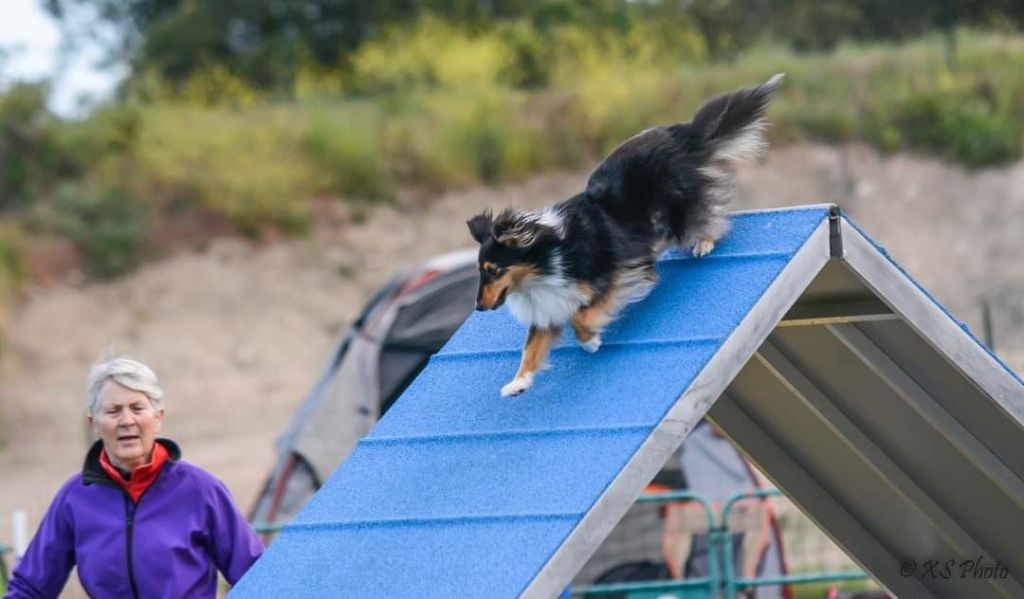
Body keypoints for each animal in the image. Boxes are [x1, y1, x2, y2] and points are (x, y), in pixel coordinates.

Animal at [468, 72, 778, 395]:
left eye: (493, 270)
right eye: (481, 271)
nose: (478, 307)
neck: (545, 256)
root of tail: (677, 132)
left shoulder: (609, 278)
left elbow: (580, 317)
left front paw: (590, 341)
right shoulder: (549, 305)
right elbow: (530, 348)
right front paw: (518, 383)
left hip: (675, 204)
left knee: (704, 213)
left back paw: (704, 242)